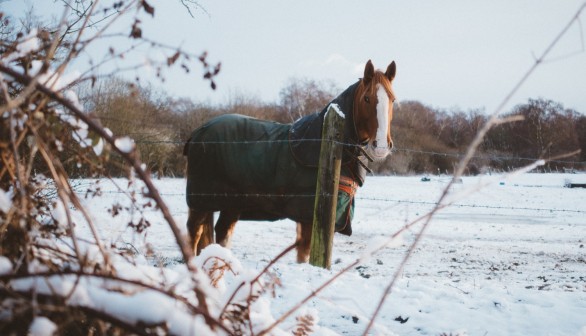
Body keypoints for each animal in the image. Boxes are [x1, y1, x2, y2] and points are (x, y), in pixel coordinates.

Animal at [182, 59, 394, 262]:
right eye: (367, 98)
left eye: (392, 99)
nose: (382, 146)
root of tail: (198, 133)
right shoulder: (308, 217)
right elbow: (305, 255)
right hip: (200, 202)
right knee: (194, 233)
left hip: (230, 204)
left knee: (222, 233)